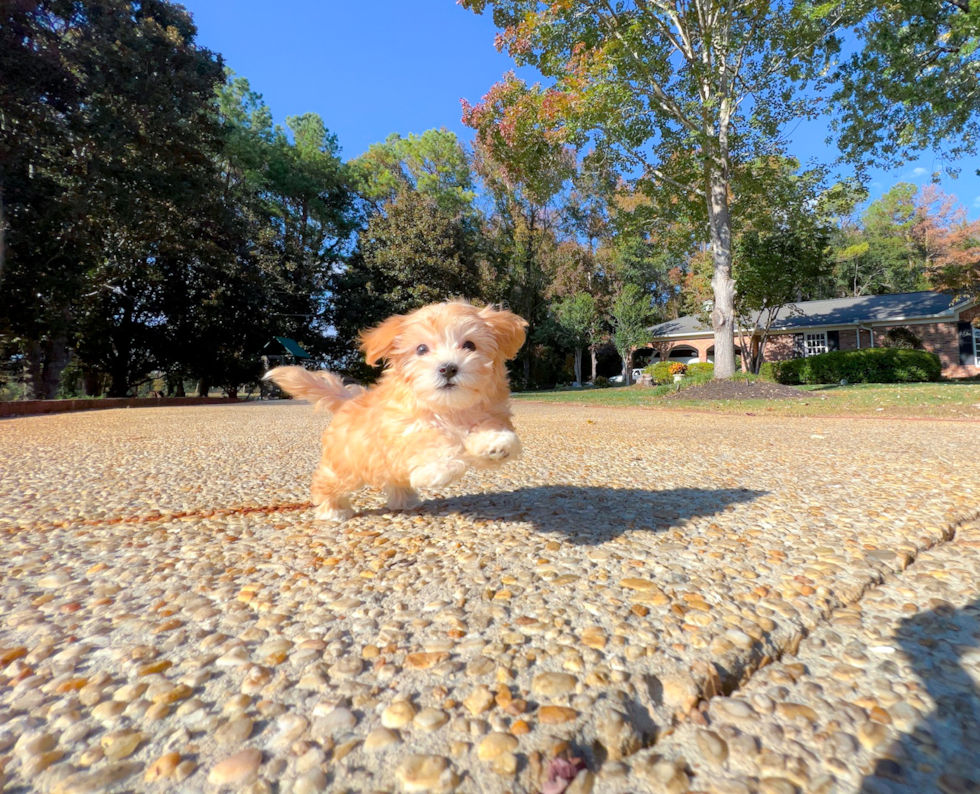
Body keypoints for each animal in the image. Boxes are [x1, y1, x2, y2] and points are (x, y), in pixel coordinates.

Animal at [262, 302, 528, 520]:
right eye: (421, 349)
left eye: (470, 345)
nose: (448, 368)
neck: (448, 408)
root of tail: (349, 401)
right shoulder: (400, 430)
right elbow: (429, 440)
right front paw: (442, 468)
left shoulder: (490, 411)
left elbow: (489, 425)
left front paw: (495, 443)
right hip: (347, 464)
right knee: (327, 481)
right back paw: (333, 510)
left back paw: (402, 500)